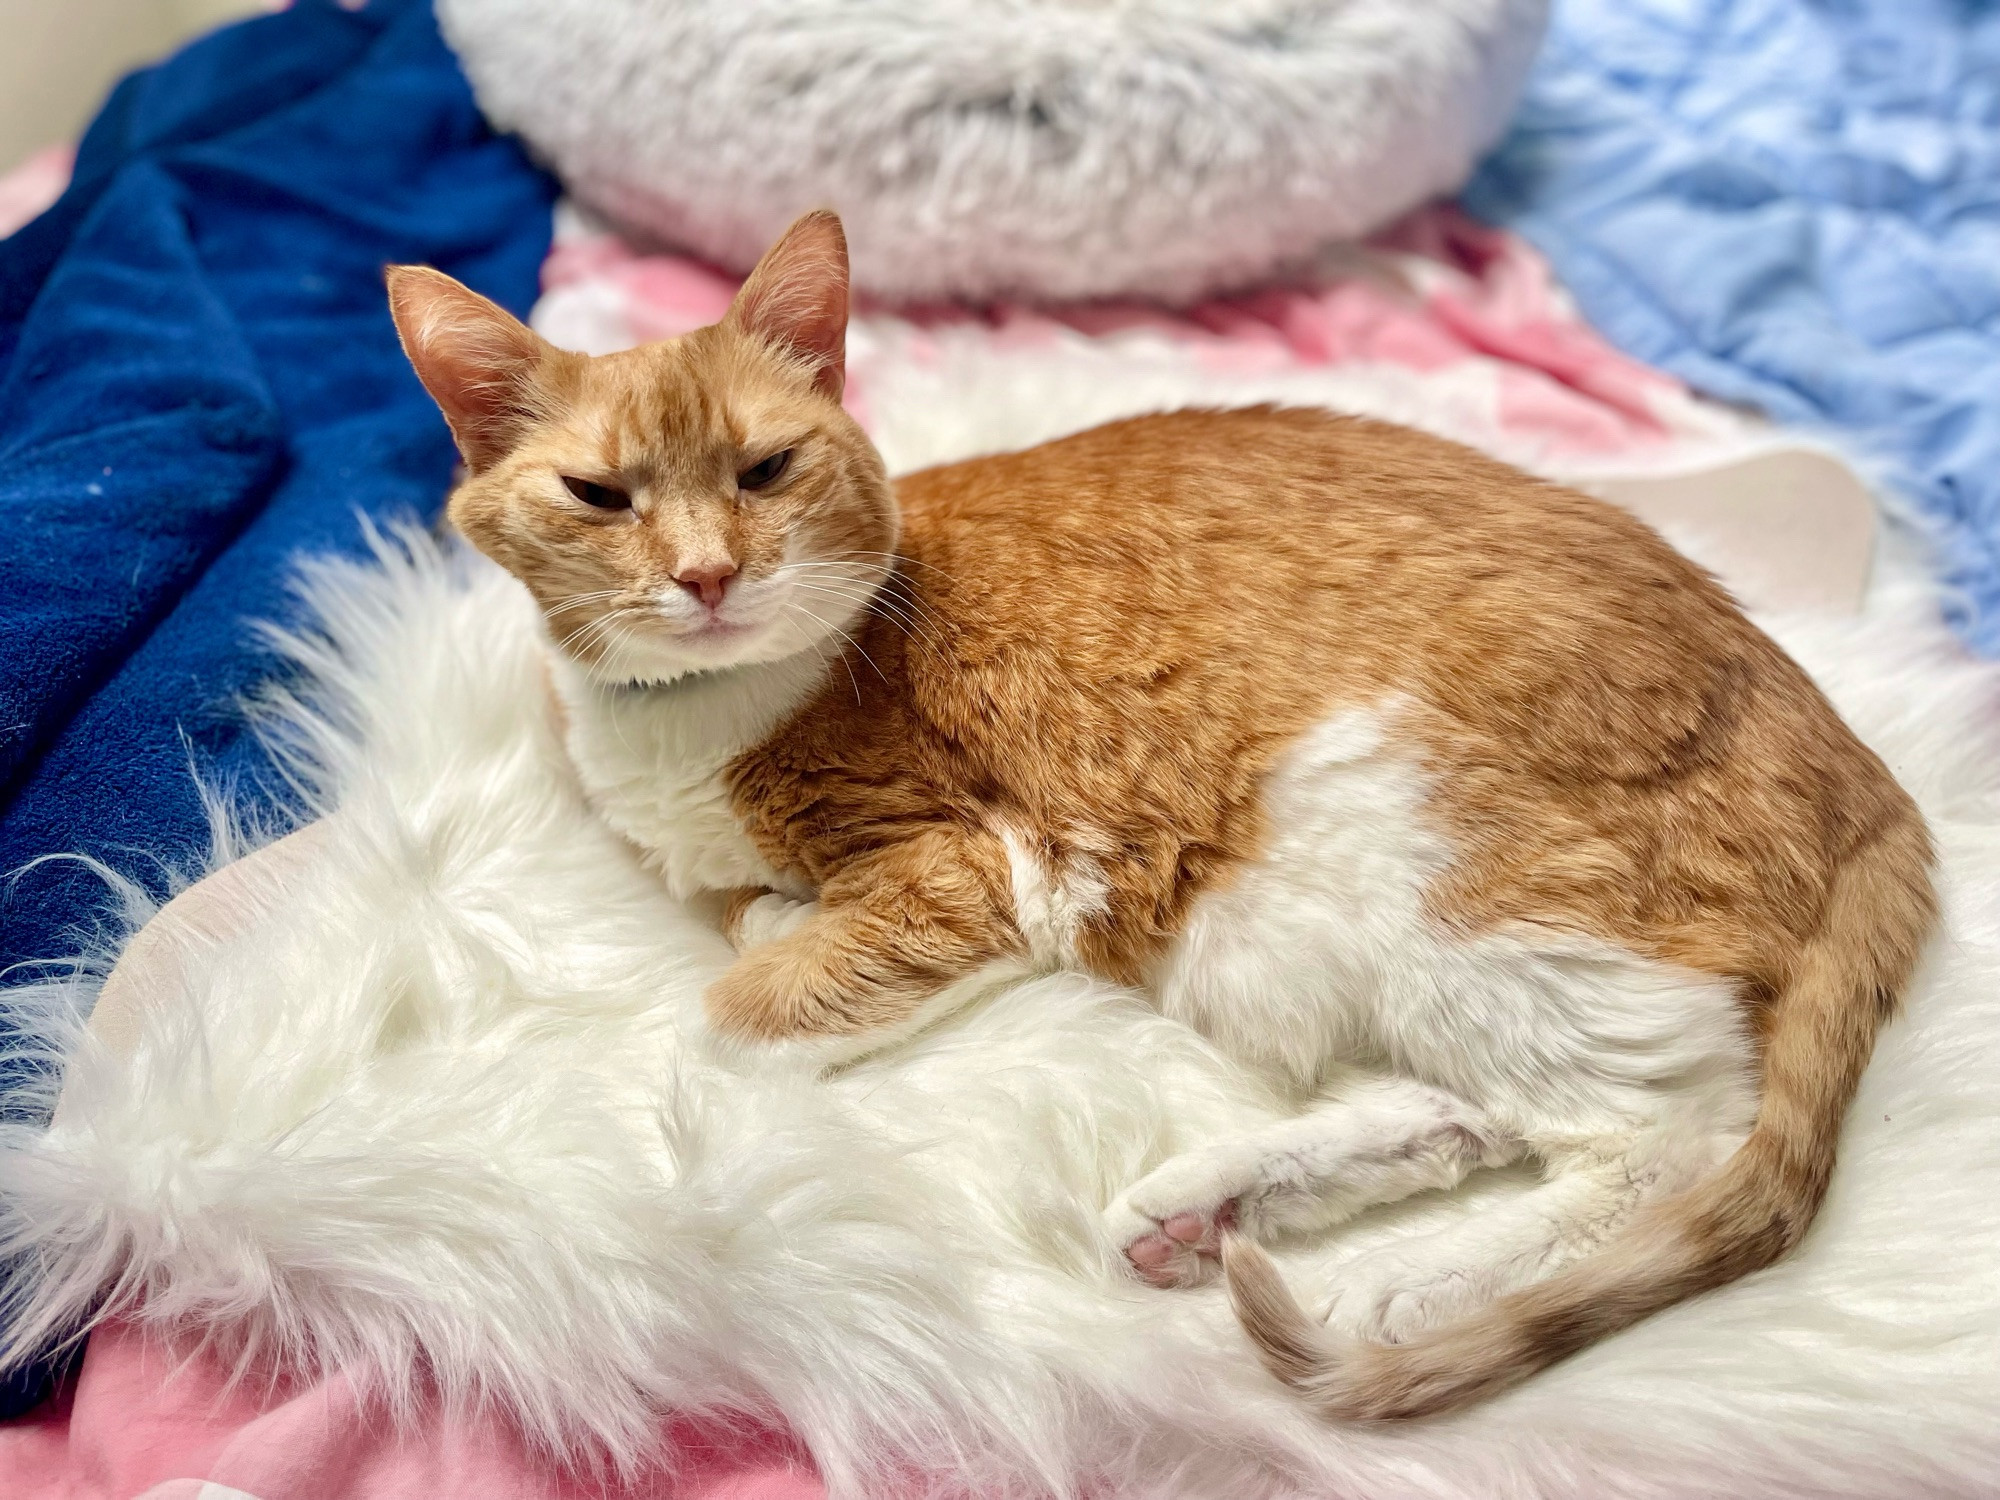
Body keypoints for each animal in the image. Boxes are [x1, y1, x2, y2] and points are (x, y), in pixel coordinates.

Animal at [382, 212, 1928, 1424]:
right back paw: (1219, 1210)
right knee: (1480, 1113)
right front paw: (761, 915)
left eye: (764, 471)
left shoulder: (967, 868)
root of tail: (1863, 772)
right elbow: (752, 927)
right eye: (599, 495)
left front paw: (676, 1110)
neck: (689, 720)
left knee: (1662, 1139)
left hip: (1440, 872)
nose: (705, 577)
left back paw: (1409, 1288)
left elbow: (720, 1020)